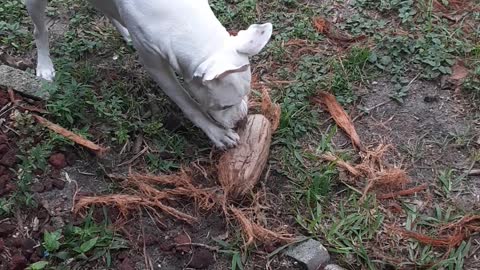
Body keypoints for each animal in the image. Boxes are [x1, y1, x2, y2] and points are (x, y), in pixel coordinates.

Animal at [26, 0, 272, 148]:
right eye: (223, 106)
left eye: (246, 95)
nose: (241, 121)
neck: (179, 19)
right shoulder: (157, 68)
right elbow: (188, 103)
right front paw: (215, 132)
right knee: (39, 31)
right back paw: (44, 65)